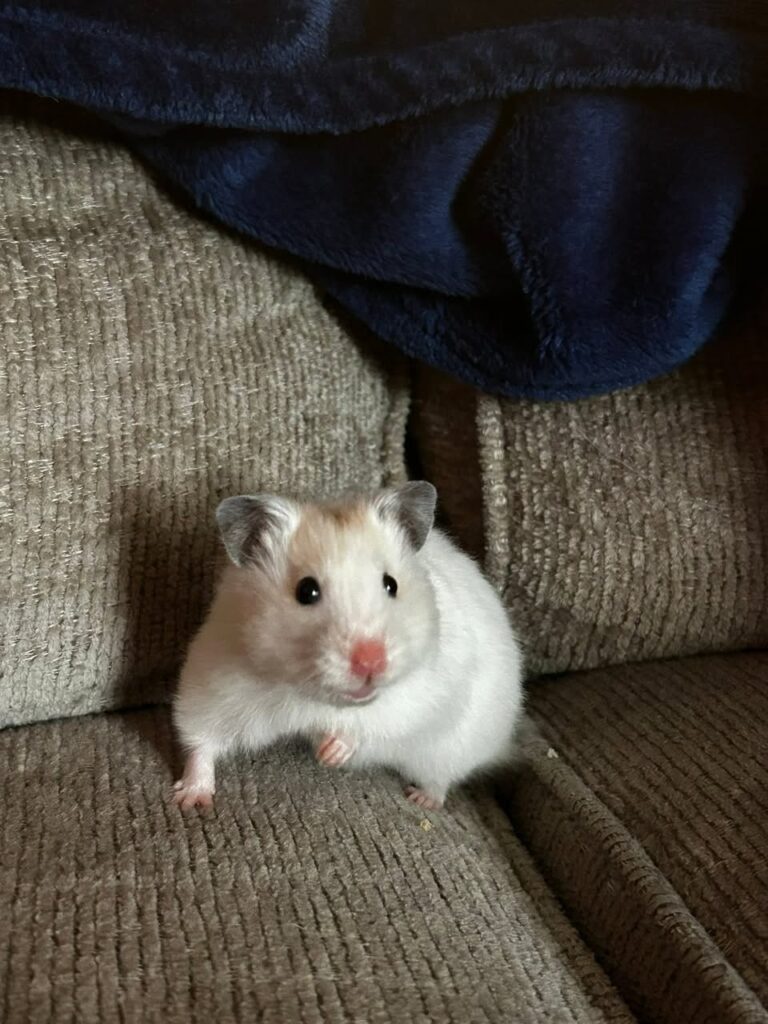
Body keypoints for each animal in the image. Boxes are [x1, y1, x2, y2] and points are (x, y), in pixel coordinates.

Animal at [173, 481, 524, 812]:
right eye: (306, 591)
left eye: (391, 584)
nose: (371, 663)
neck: (309, 695)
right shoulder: (218, 682)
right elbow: (201, 740)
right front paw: (190, 800)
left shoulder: (421, 692)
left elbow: (374, 721)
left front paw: (330, 753)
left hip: (452, 747)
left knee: (441, 778)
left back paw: (422, 799)